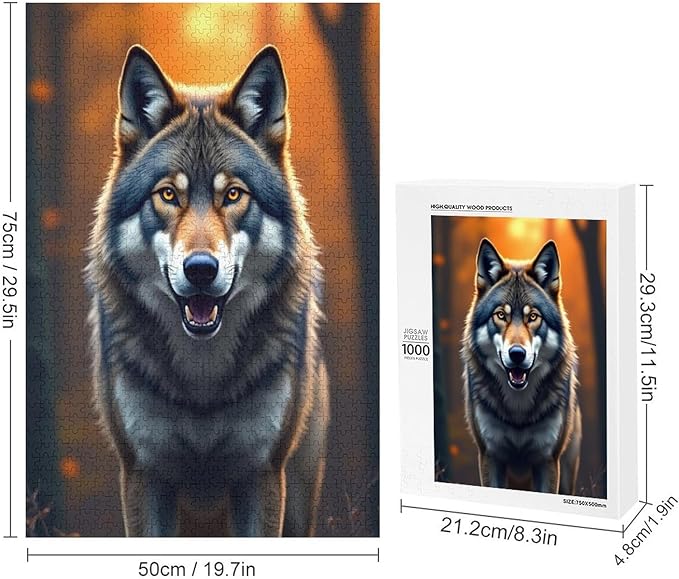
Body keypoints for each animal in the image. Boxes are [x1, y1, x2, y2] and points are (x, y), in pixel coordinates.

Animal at [85, 44, 329, 536]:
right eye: (168, 195)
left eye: (233, 194)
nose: (200, 270)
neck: (203, 382)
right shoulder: (143, 474)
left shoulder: (262, 474)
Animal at [461, 238, 582, 494]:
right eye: (500, 315)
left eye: (533, 317)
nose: (517, 354)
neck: (519, 411)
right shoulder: (490, 456)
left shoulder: (548, 460)